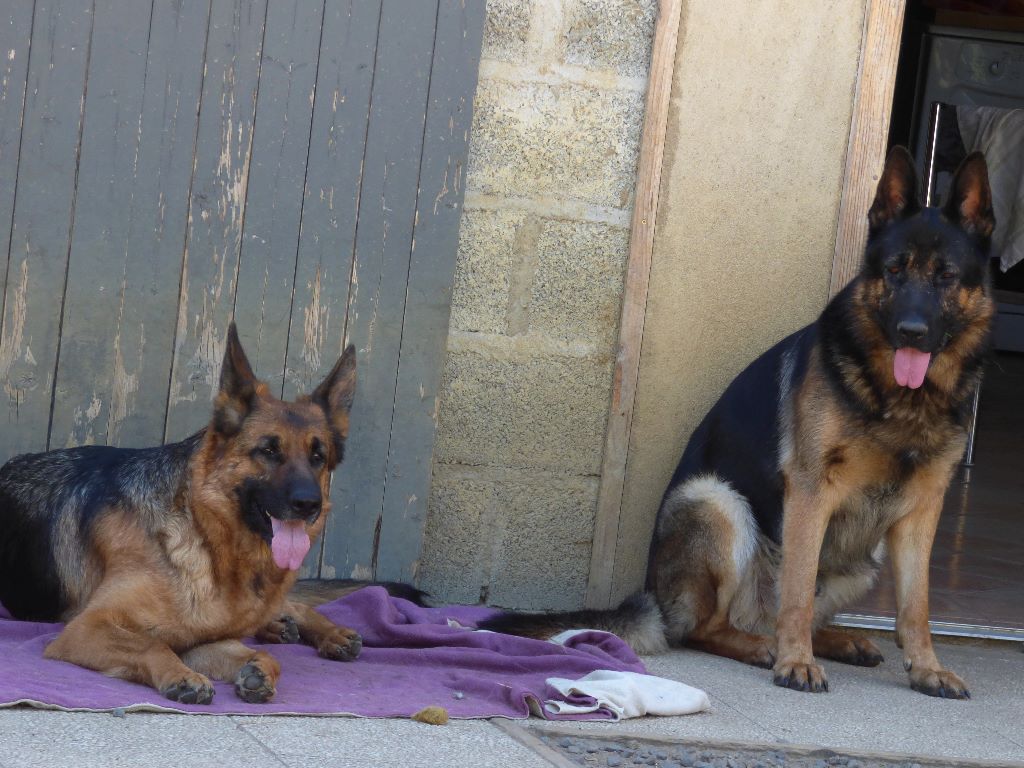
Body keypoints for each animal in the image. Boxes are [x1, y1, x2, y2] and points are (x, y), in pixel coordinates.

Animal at [0, 323, 376, 704]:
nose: (309, 504)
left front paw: (256, 669)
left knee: (291, 606)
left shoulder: (202, 636)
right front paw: (182, 676)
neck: (203, 539)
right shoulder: (88, 627)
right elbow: (152, 645)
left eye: (318, 457)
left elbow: (264, 656)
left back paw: (325, 632)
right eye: (268, 451)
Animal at [483, 147, 995, 700]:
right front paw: (796, 664)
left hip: (865, 559)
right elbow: (797, 590)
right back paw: (765, 647)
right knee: (709, 627)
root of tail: (655, 597)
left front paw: (926, 668)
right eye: (895, 271)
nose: (911, 332)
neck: (903, 399)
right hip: (719, 504)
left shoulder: (923, 510)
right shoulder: (811, 491)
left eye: (946, 276)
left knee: (788, 613)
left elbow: (916, 606)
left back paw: (835, 640)